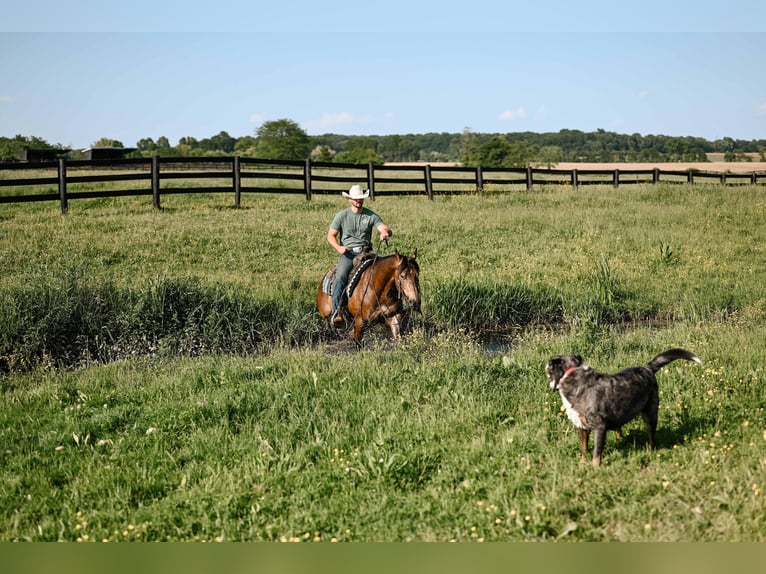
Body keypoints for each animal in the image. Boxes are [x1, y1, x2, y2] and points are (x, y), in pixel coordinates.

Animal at [544, 352, 704, 468]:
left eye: (549, 368)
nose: (545, 365)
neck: (571, 375)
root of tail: (646, 368)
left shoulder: (599, 427)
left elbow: (596, 453)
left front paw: (595, 468)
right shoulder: (581, 427)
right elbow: (584, 449)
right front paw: (582, 464)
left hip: (650, 413)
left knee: (652, 436)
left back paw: (651, 450)